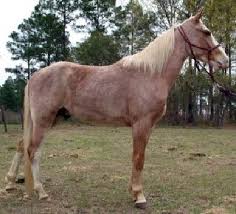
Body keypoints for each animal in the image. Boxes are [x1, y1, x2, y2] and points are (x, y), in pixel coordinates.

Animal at [4, 10, 228, 209]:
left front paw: (133, 192)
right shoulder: (141, 124)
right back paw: (41, 191)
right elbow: (138, 158)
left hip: (50, 120)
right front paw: (139, 196)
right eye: (206, 32)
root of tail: (35, 75)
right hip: (43, 120)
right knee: (33, 151)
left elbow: (137, 156)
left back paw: (10, 182)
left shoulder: (147, 127)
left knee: (23, 146)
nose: (224, 60)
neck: (150, 74)